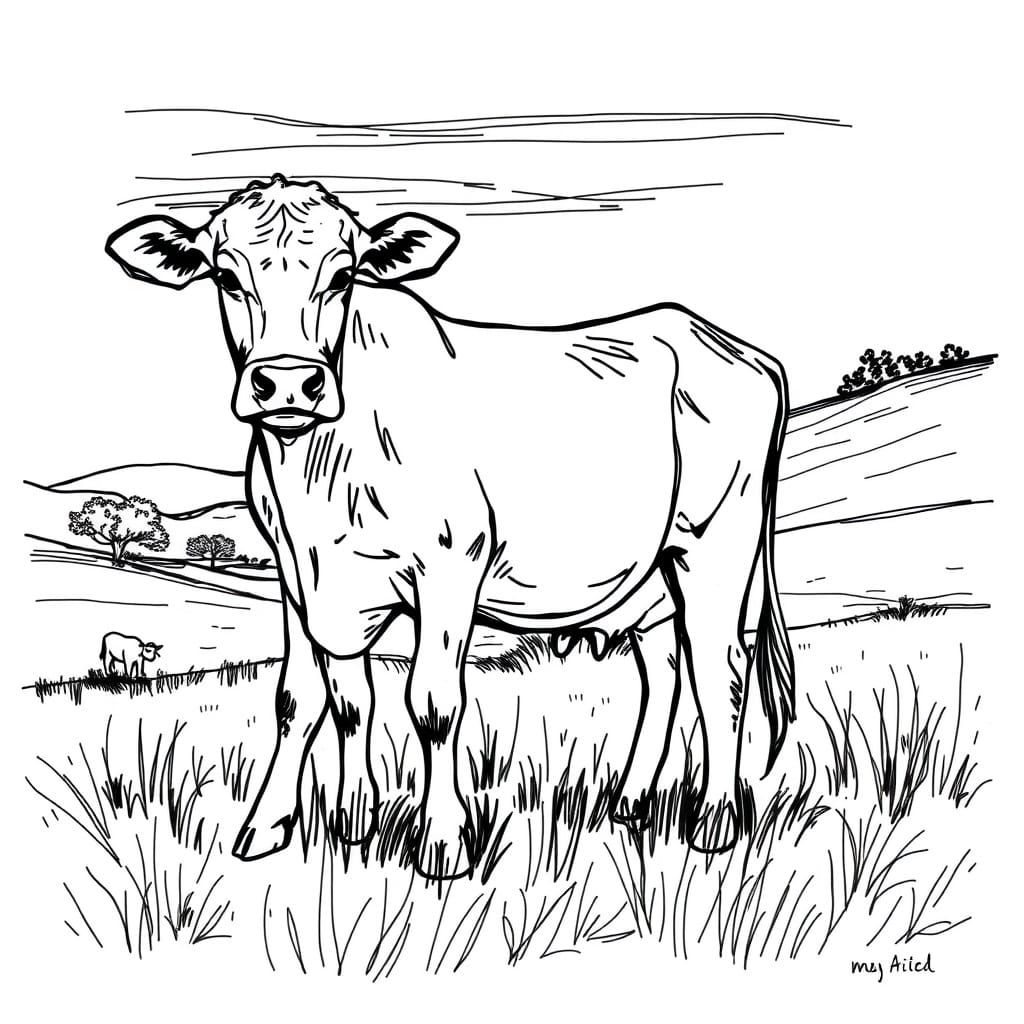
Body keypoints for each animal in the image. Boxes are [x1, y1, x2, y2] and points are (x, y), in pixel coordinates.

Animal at [106, 174, 795, 879]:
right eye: (225, 275)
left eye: (343, 275)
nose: (290, 384)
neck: (318, 472)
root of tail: (716, 338)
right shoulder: (299, 579)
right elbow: (311, 701)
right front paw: (317, 823)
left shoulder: (449, 566)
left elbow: (433, 705)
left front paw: (441, 841)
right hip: (651, 576)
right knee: (663, 671)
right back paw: (628, 803)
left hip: (715, 543)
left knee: (720, 670)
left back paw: (715, 821)